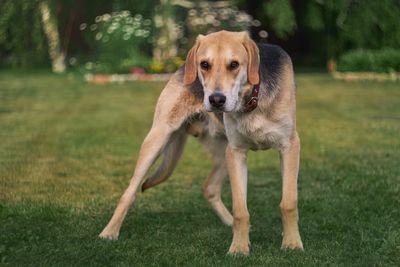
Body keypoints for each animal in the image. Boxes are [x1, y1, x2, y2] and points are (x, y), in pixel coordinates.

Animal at [100, 30, 304, 255]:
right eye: (204, 64)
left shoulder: (289, 147)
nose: (216, 100)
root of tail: (182, 67)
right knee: (129, 192)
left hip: (223, 153)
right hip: (158, 139)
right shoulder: (237, 152)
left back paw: (230, 223)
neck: (252, 101)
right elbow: (241, 209)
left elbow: (288, 202)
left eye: (234, 64)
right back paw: (109, 232)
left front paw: (292, 243)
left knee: (210, 188)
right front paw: (239, 248)